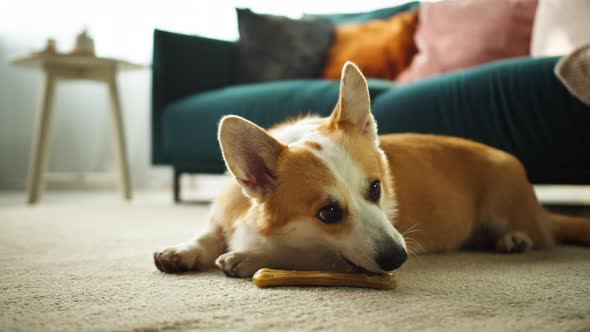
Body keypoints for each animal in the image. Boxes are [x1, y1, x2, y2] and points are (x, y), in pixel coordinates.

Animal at [156, 62, 590, 278]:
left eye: (377, 188)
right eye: (329, 212)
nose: (400, 258)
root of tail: (540, 210)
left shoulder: (334, 258)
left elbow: (303, 256)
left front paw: (247, 258)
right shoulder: (222, 219)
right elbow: (206, 235)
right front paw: (182, 251)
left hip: (504, 205)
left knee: (539, 235)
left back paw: (515, 239)